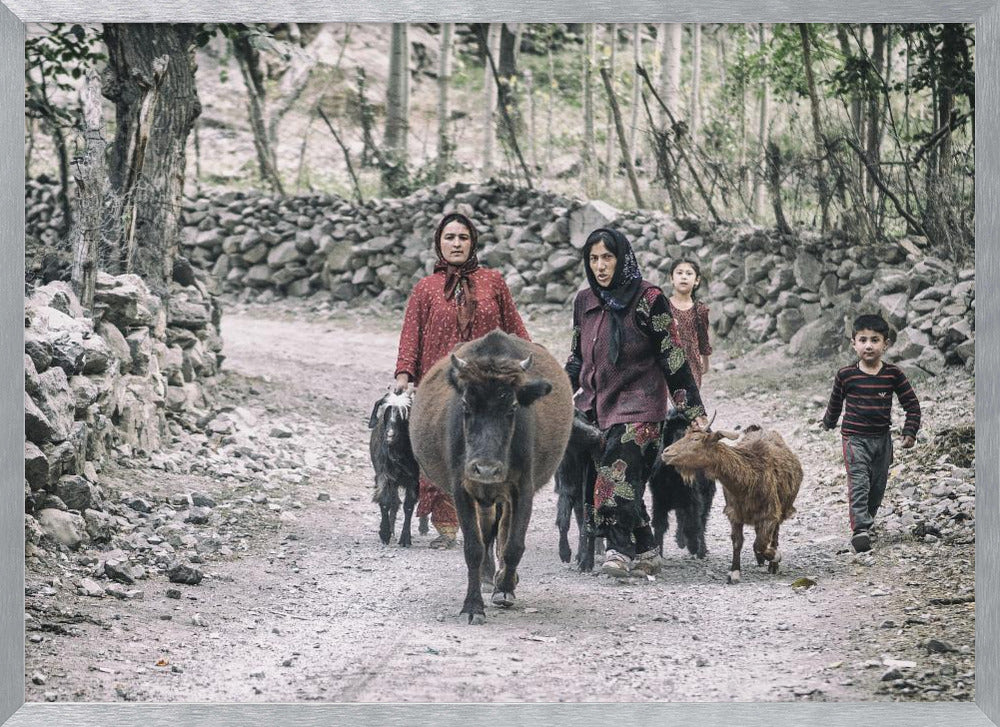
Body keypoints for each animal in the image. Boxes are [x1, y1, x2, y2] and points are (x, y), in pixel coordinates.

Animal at [370, 392, 420, 544]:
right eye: (385, 412)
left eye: (403, 414)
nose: (390, 435)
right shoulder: (384, 475)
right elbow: (386, 502)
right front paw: (385, 533)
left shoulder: (414, 479)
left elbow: (408, 506)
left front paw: (405, 539)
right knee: (394, 502)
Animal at [410, 332, 576, 624]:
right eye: (466, 405)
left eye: (512, 407)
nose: (486, 470)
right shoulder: (462, 489)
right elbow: (474, 547)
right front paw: (473, 606)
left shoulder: (523, 489)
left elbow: (513, 545)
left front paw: (506, 588)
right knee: (488, 531)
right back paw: (487, 576)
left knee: (502, 531)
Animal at [648, 404, 720, 556]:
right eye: (668, 428)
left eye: (689, 432)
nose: (672, 452)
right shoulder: (659, 499)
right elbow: (660, 525)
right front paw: (659, 551)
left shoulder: (693, 498)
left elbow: (693, 523)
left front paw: (694, 546)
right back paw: (681, 541)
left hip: (707, 493)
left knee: (702, 519)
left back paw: (700, 549)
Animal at [664, 426, 804, 584]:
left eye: (696, 439)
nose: (666, 452)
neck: (748, 479)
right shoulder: (734, 514)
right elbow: (738, 542)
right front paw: (734, 572)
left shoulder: (770, 514)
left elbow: (759, 544)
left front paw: (776, 556)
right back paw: (760, 560)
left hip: (781, 509)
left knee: (774, 534)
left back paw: (772, 565)